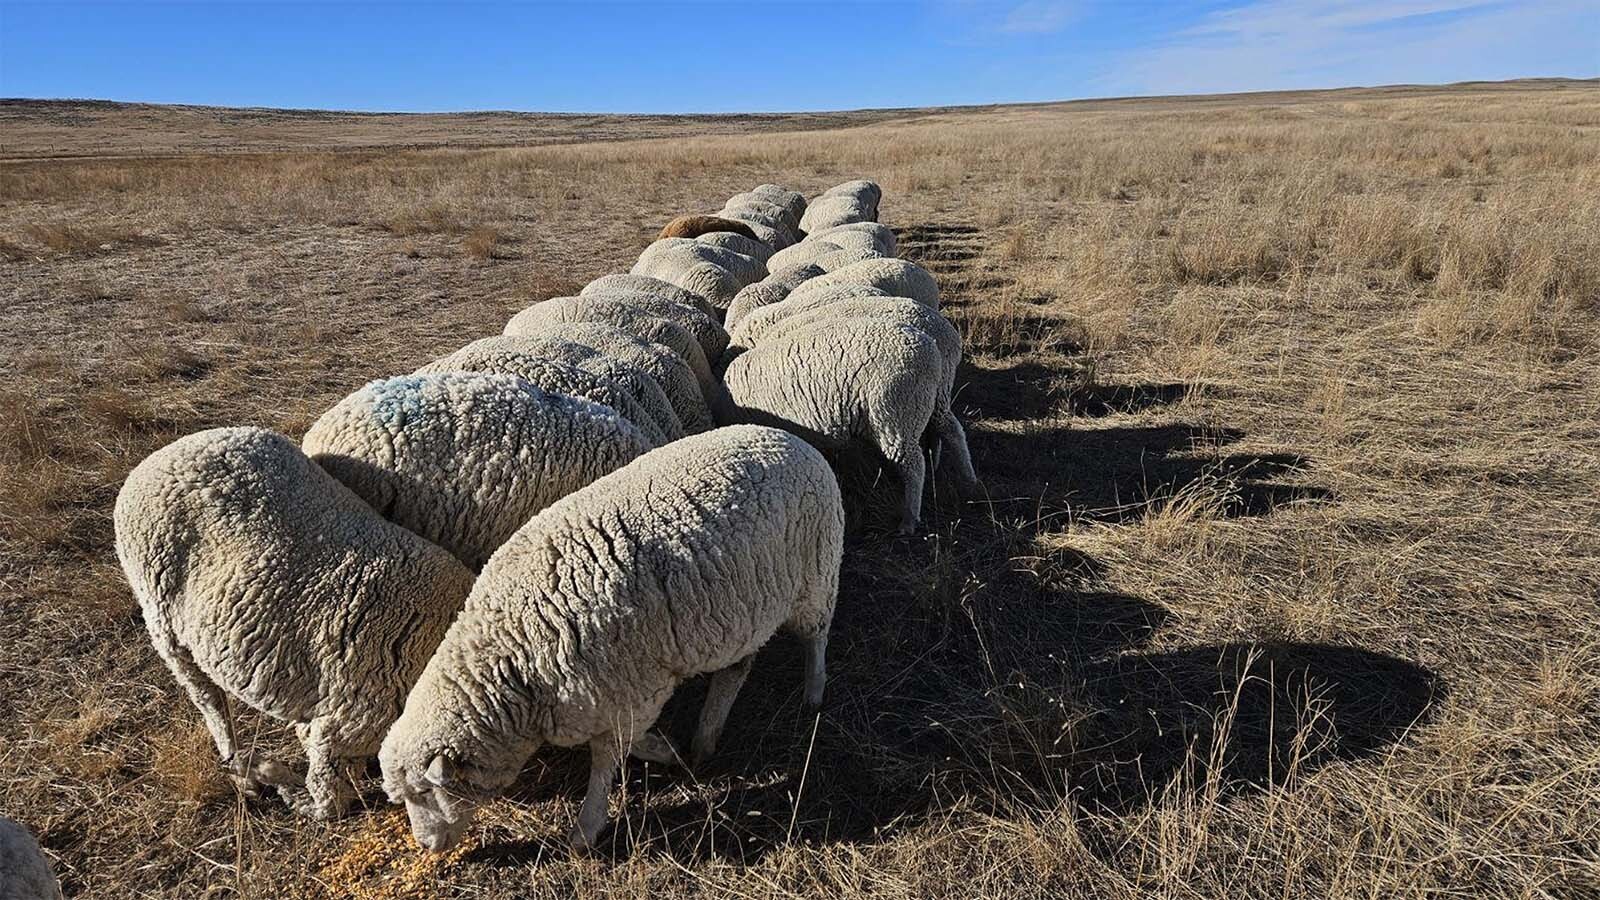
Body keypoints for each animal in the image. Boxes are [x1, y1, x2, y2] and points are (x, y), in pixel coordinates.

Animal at [114, 427, 476, 820]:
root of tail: (168, 451)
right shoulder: (345, 727)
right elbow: (327, 802)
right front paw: (277, 778)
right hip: (161, 619)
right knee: (208, 699)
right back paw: (241, 768)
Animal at [379, 425, 843, 852]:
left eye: (425, 791)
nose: (425, 846)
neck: (514, 653)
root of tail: (789, 438)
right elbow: (629, 745)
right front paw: (667, 750)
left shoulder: (631, 692)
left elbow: (608, 761)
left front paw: (587, 828)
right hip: (739, 613)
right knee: (736, 670)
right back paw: (705, 737)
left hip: (817, 575)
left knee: (817, 636)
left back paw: (813, 692)